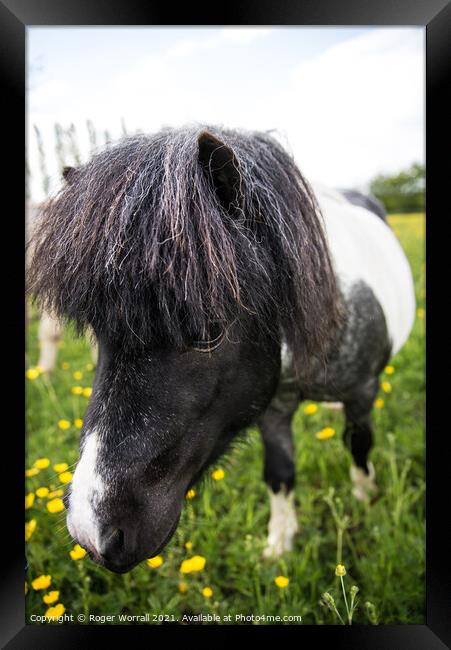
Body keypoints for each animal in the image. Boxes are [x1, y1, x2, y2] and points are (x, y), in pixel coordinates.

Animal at [27, 124, 416, 568]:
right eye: (96, 333)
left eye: (209, 331)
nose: (90, 532)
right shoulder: (273, 408)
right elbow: (280, 474)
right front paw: (278, 546)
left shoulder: (363, 392)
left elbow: (358, 444)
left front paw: (366, 500)